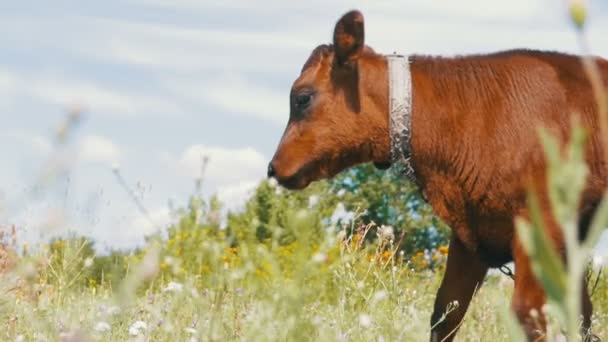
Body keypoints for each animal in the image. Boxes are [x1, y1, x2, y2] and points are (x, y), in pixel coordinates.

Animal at [268, 9, 608, 340]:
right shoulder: (471, 234)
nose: (272, 168)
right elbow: (446, 313)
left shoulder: (542, 224)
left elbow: (529, 316)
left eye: (302, 97)